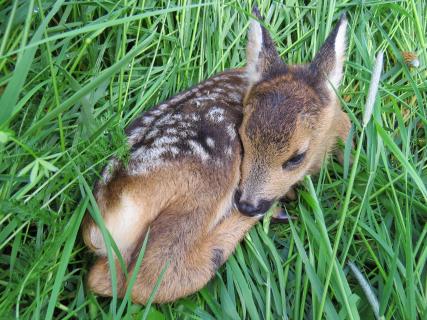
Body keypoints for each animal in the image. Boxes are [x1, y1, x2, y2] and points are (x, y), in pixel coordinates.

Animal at [81, 6, 352, 304]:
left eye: (295, 157)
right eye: (244, 140)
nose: (247, 205)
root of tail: (106, 216)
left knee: (103, 276)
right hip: (211, 172)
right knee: (154, 275)